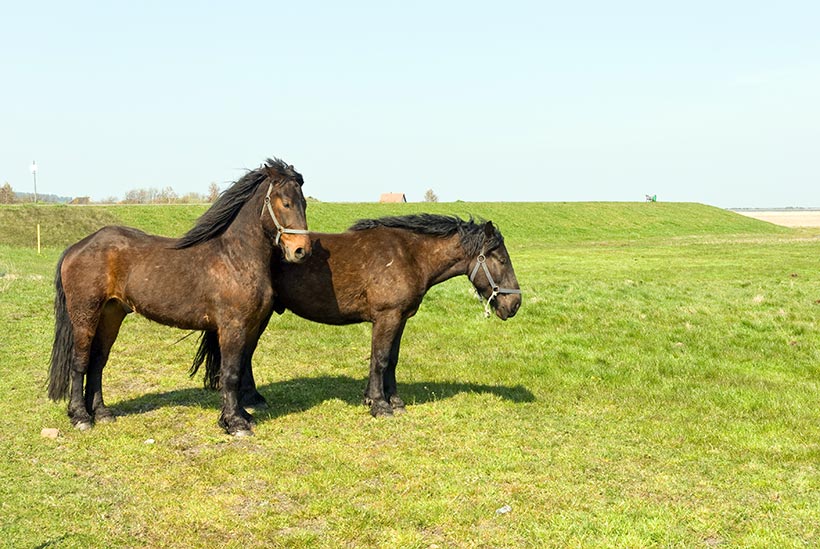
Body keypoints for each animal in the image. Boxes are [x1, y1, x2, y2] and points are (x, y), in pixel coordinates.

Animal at [48, 158, 311, 436]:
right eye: (285, 203)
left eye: (304, 203)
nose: (301, 251)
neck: (234, 257)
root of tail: (76, 247)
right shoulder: (233, 327)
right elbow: (230, 373)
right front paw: (235, 423)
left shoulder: (250, 328)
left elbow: (239, 369)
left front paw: (242, 415)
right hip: (85, 315)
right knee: (80, 362)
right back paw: (81, 417)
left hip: (111, 315)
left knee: (98, 361)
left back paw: (101, 413)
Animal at [192, 214, 521, 417]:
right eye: (501, 259)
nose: (515, 304)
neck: (408, 255)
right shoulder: (387, 317)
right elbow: (380, 360)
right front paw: (379, 404)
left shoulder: (400, 318)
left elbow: (391, 360)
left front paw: (393, 400)